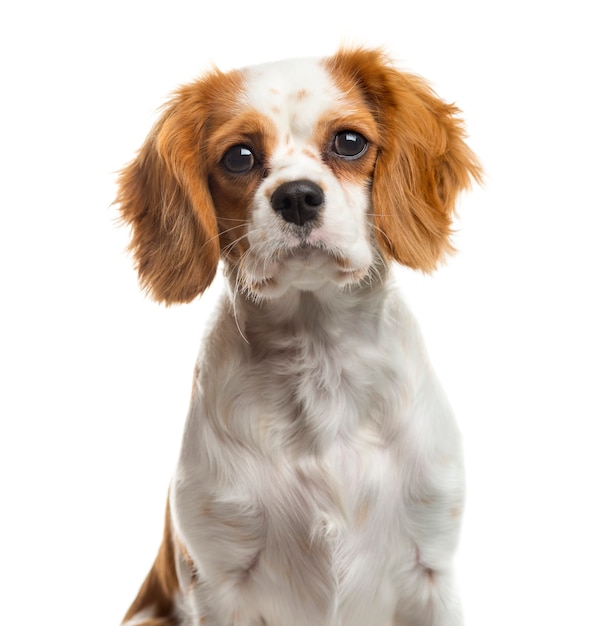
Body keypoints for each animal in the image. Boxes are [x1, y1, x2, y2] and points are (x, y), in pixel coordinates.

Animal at [117, 45, 482, 624]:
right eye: (239, 157)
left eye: (350, 141)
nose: (296, 197)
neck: (319, 356)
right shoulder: (217, 577)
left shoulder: (431, 568)